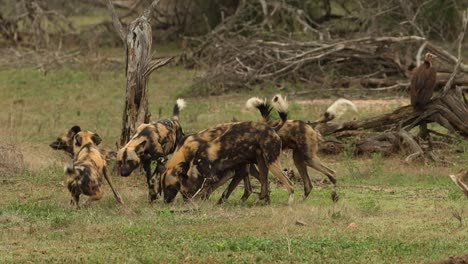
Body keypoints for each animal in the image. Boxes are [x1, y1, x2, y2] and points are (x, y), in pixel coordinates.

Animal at [160, 103, 292, 204]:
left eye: (170, 187)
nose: (166, 201)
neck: (186, 150)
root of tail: (270, 128)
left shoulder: (222, 174)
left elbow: (209, 190)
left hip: (264, 163)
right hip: (257, 164)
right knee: (261, 183)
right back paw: (263, 200)